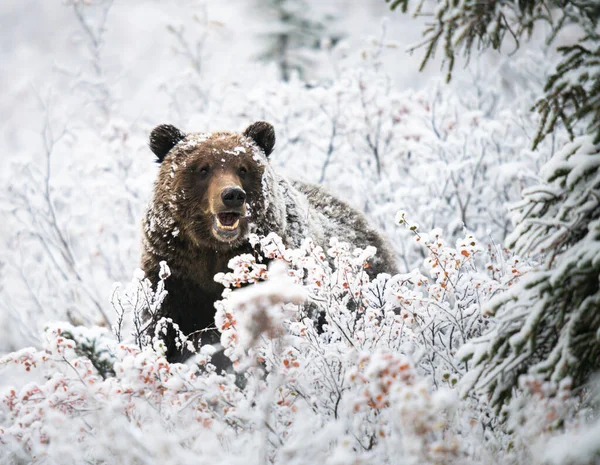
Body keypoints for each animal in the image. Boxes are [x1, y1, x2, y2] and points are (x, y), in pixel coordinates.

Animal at [138, 121, 396, 360]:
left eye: (243, 168)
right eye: (203, 168)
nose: (232, 195)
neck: (214, 253)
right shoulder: (173, 277)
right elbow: (163, 330)